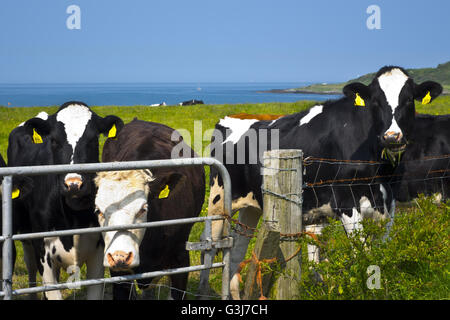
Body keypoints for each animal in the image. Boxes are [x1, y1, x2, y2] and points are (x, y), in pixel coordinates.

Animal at [8, 101, 125, 298]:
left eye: (93, 140)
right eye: (54, 141)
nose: (74, 184)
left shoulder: (98, 252)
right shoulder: (43, 253)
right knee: (29, 263)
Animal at [201, 66, 442, 298]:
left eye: (409, 100)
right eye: (375, 101)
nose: (392, 137)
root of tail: (230, 117)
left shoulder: (388, 206)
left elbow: (379, 255)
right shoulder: (346, 203)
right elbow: (362, 256)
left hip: (250, 204)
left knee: (237, 247)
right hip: (218, 198)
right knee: (210, 244)